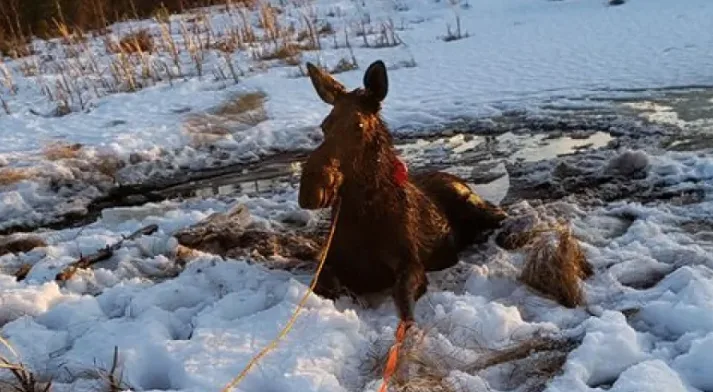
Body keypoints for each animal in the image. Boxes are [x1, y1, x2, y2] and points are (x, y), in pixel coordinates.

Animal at [298, 60, 506, 334]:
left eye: (359, 125)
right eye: (324, 125)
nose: (310, 190)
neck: (362, 216)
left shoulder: (410, 263)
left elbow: (402, 300)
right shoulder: (329, 260)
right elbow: (327, 283)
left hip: (474, 204)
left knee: (501, 213)